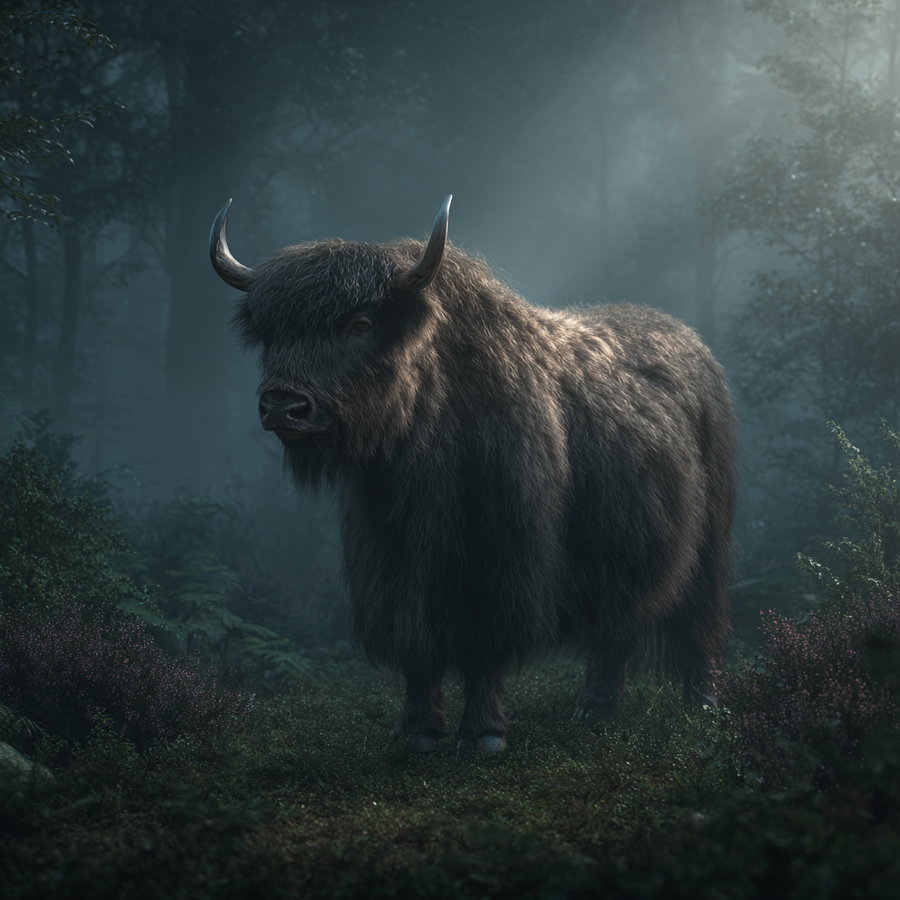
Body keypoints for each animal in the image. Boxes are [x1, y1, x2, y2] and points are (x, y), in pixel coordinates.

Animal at [209, 196, 736, 752]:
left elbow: (486, 646)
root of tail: (692, 345)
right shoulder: (393, 562)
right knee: (620, 625)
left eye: (360, 323)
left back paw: (701, 704)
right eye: (271, 331)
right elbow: (416, 648)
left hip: (708, 542)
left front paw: (484, 734)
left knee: (699, 617)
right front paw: (417, 731)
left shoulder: (503, 557)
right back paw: (593, 707)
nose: (282, 406)